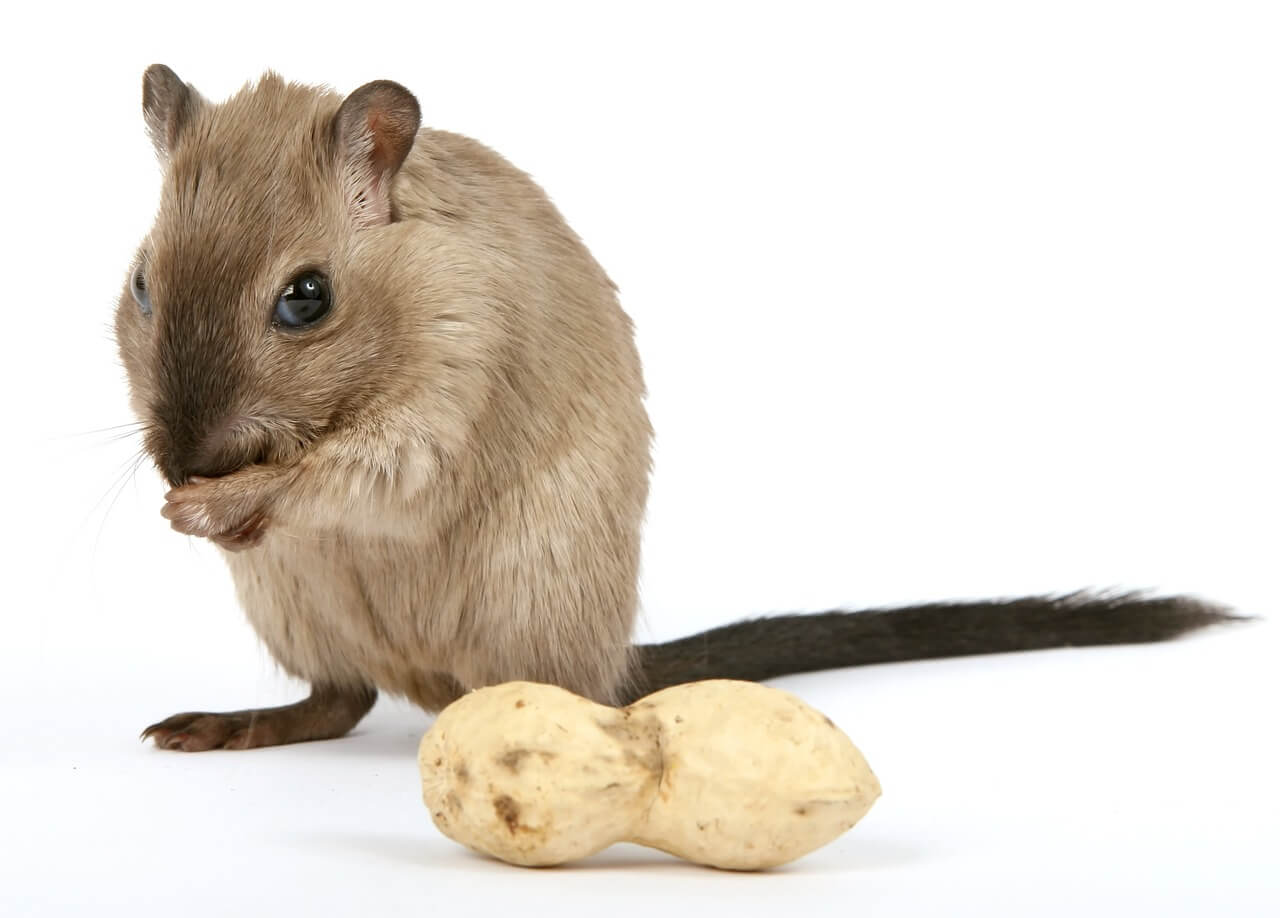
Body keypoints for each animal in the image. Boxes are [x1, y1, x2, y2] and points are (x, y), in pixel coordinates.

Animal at [117, 66, 1232, 751]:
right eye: (141, 286)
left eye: (306, 298)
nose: (183, 461)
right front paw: (184, 505)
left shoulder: (442, 404)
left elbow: (359, 472)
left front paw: (214, 504)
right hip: (296, 611)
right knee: (338, 701)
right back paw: (220, 726)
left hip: (527, 601)